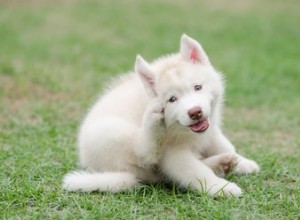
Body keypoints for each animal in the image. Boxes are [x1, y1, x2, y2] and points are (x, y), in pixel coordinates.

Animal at [63, 34, 260, 198]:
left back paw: (222, 164)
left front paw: (243, 162)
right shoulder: (173, 153)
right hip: (110, 133)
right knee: (145, 153)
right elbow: (196, 172)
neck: (184, 132)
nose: (195, 112)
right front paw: (221, 188)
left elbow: (224, 145)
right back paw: (153, 122)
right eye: (172, 99)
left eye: (197, 87)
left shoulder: (210, 131)